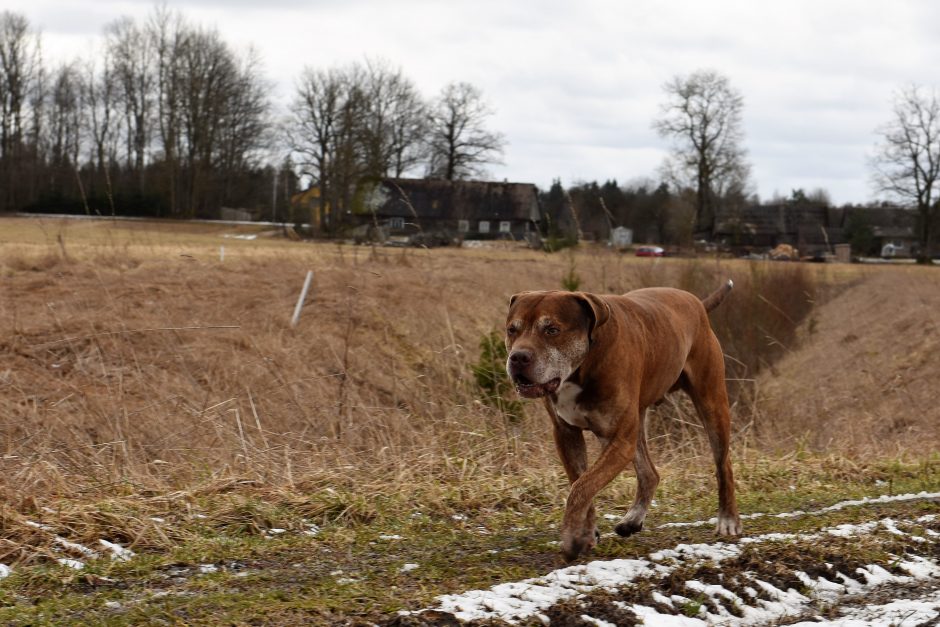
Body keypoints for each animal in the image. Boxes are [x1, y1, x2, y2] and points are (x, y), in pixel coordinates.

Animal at [506, 282, 740, 560]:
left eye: (552, 330)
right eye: (512, 330)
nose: (518, 357)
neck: (583, 365)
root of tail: (696, 303)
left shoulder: (619, 441)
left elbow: (581, 488)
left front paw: (573, 538)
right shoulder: (566, 434)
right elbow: (581, 482)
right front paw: (586, 533)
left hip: (711, 403)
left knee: (723, 465)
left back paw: (728, 519)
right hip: (637, 424)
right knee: (649, 473)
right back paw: (633, 520)